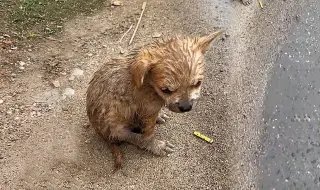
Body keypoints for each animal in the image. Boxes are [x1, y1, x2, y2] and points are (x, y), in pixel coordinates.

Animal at [86, 30, 224, 171]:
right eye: (166, 90)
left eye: (198, 83)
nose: (186, 107)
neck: (148, 83)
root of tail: (102, 135)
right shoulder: (148, 111)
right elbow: (148, 135)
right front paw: (156, 145)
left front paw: (160, 115)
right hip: (114, 126)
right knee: (128, 136)